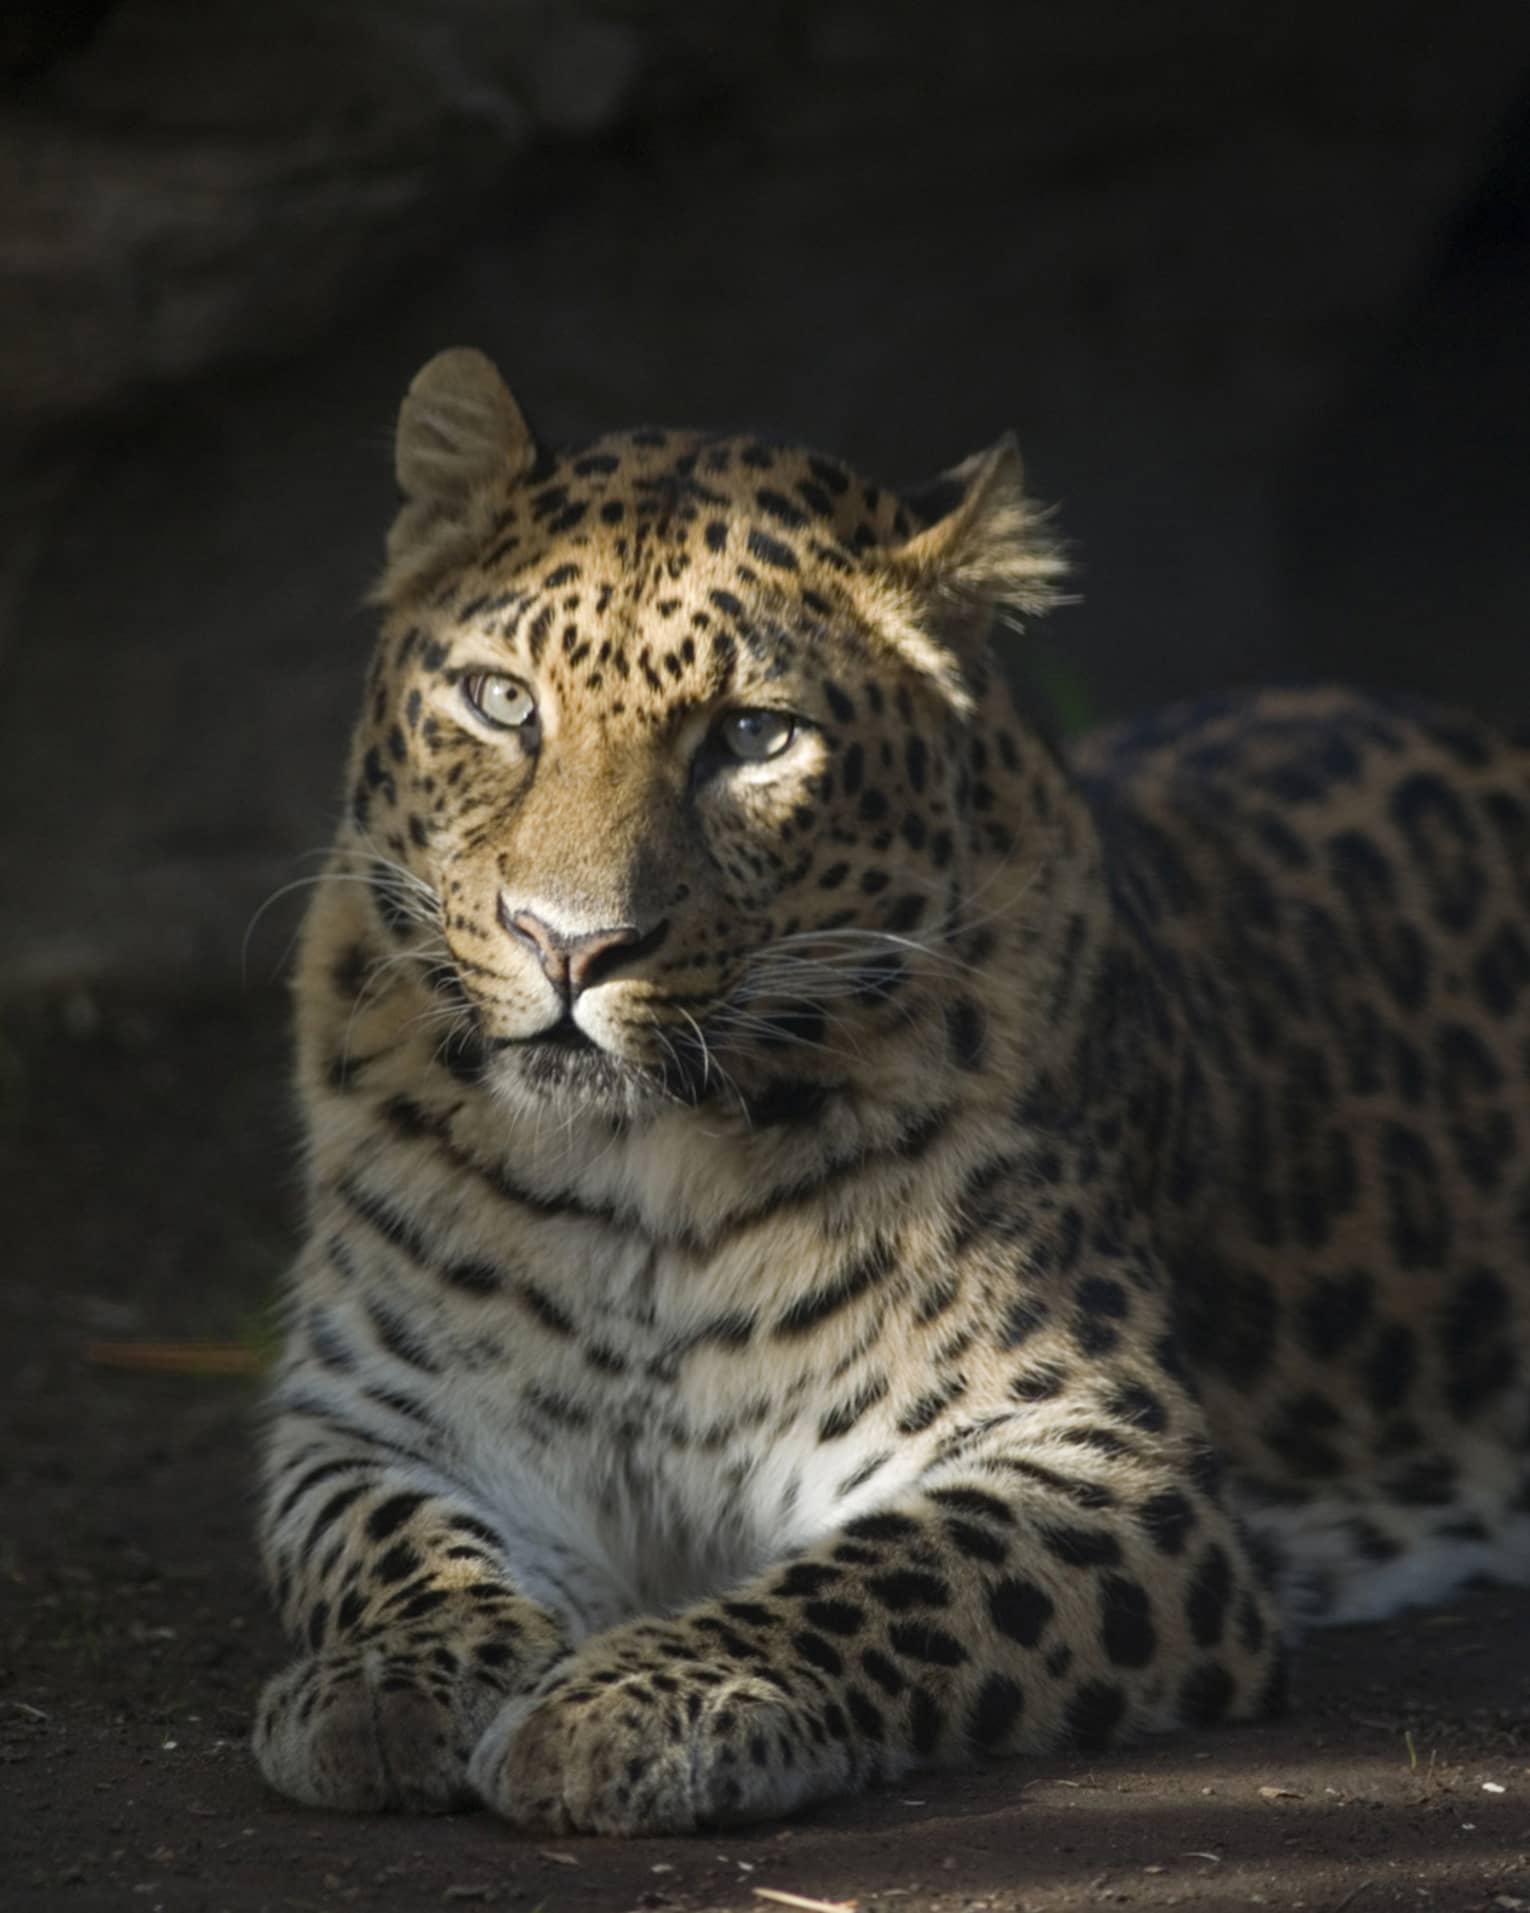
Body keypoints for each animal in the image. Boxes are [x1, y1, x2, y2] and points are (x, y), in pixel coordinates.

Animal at [252, 346, 1530, 1835]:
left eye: (753, 738)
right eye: (503, 702)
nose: (568, 943)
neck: (630, 1174)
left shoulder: (1102, 1460)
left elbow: (887, 1576)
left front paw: (639, 1700)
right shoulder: (375, 1419)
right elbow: (383, 1544)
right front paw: (388, 1677)